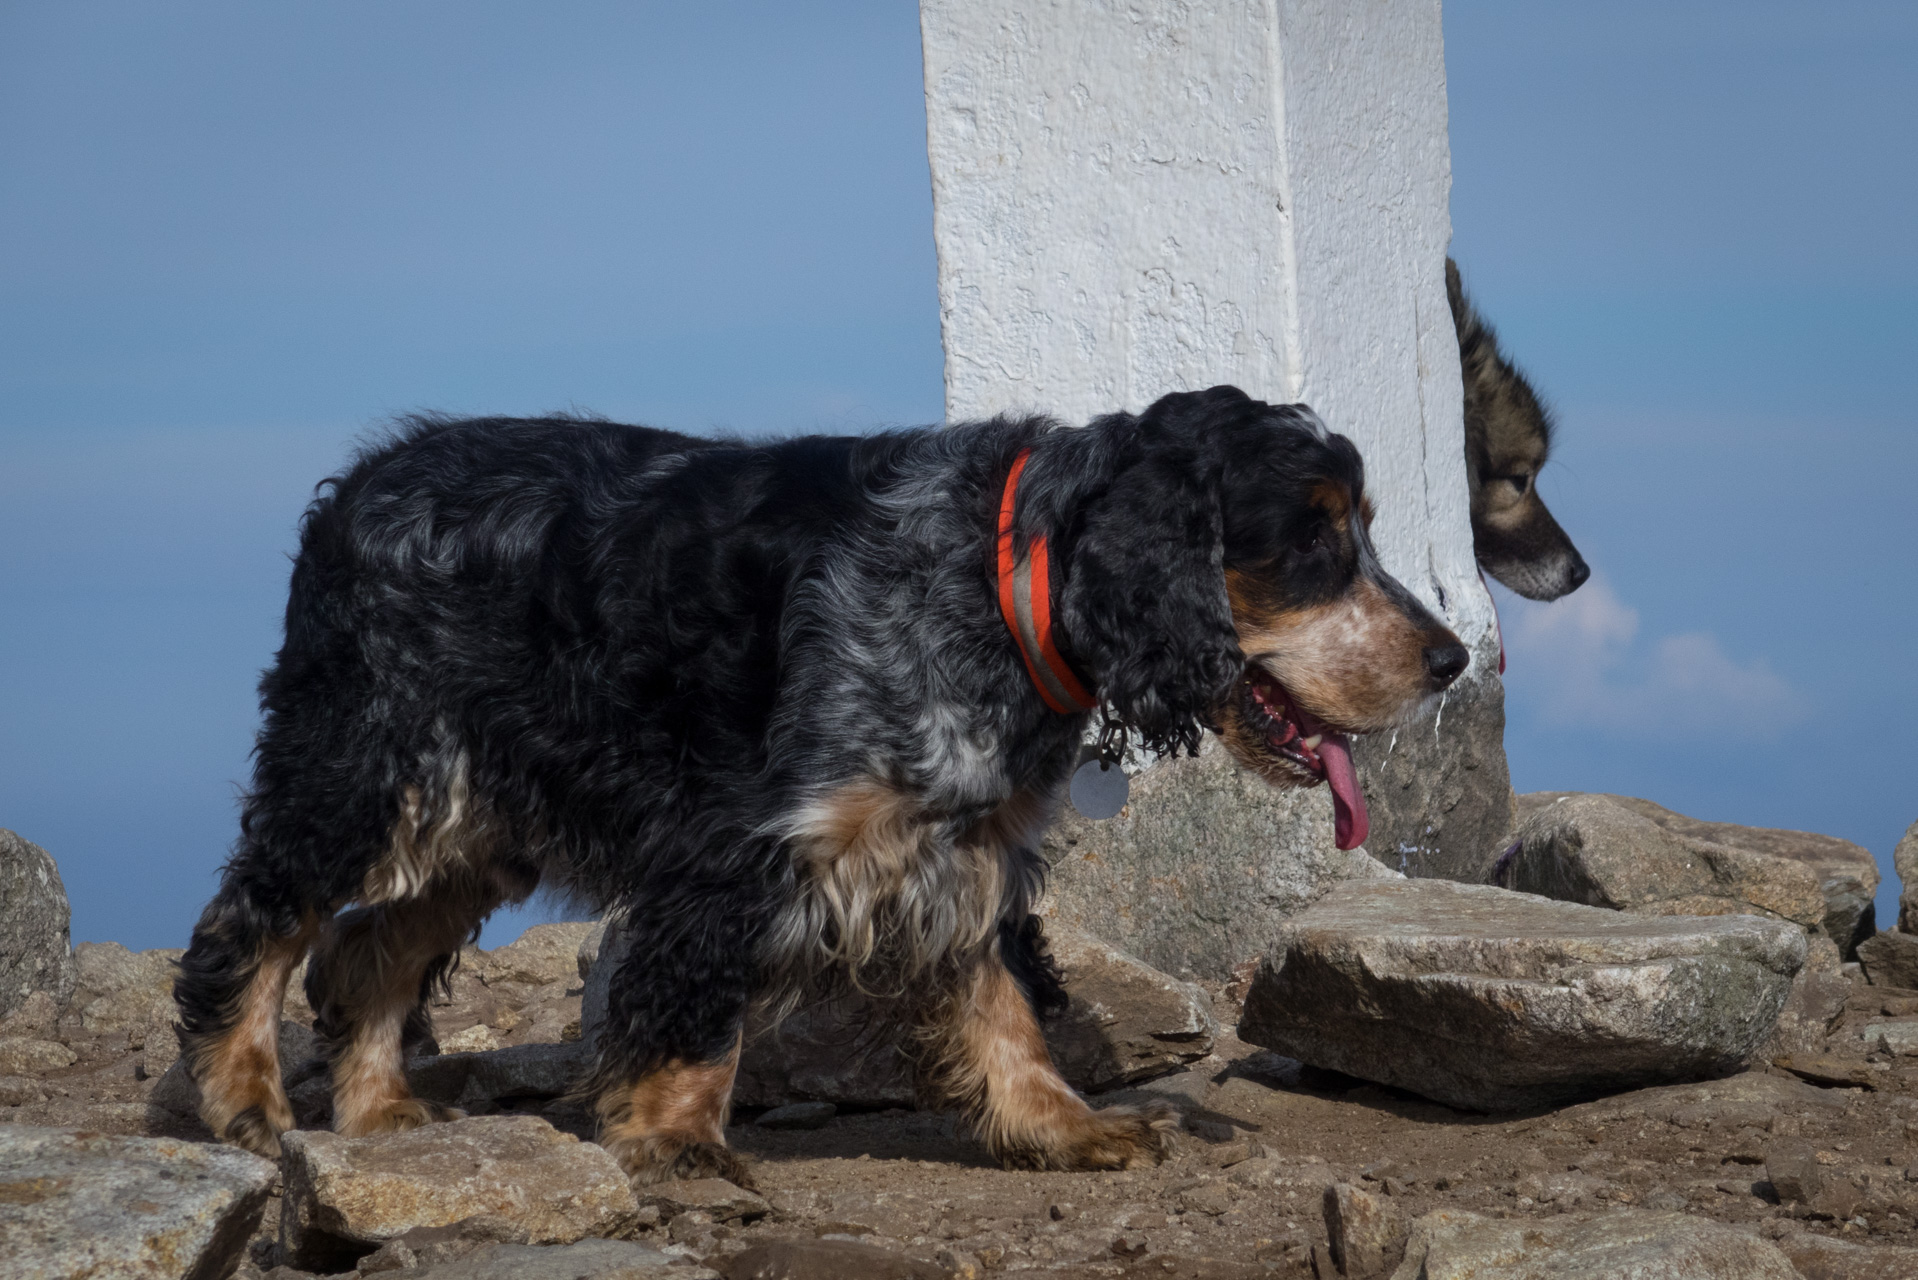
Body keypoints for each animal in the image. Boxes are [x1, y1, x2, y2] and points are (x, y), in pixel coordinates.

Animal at [180, 385, 1465, 1189]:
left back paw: (379, 1112)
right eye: (1314, 541)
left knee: (370, 946)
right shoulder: (742, 845)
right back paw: (244, 1096)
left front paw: (1062, 1126)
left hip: (478, 816)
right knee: (255, 918)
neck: (999, 576)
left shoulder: (965, 848)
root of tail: (359, 483)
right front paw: (677, 1141)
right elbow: (696, 1009)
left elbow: (1003, 998)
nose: (1449, 658)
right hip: (370, 760)